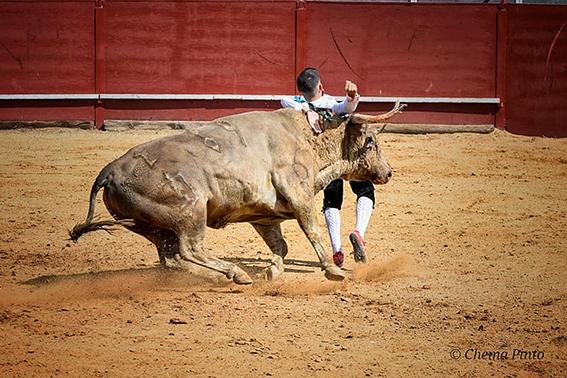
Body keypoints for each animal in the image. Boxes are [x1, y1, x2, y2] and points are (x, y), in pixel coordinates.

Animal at [69, 103, 404, 284]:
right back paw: (235, 273)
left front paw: (272, 272)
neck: (307, 140)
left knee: (171, 257)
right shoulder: (300, 197)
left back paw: (222, 276)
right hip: (190, 211)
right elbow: (313, 232)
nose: (388, 172)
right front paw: (335, 271)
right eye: (371, 141)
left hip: (149, 226)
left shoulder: (264, 216)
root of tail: (110, 170)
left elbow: (280, 245)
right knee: (189, 249)